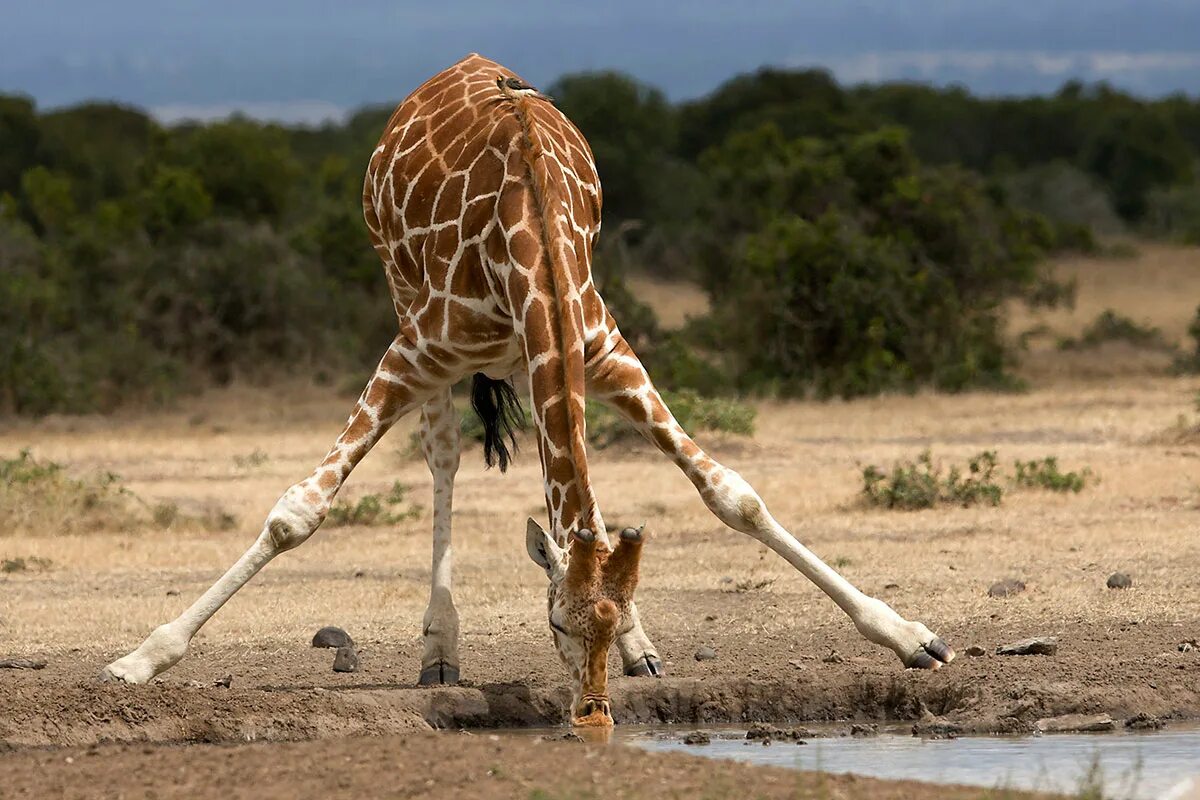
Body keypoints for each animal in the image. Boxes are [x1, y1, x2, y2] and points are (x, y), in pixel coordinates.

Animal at [98, 53, 950, 729]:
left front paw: (913, 638)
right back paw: (440, 652)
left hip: (522, 358)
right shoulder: (414, 352)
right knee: (443, 455)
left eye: (593, 625)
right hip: (405, 301)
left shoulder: (604, 351)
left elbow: (731, 496)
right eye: (557, 629)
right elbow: (295, 514)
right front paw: (140, 660)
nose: (594, 714)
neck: (531, 226)